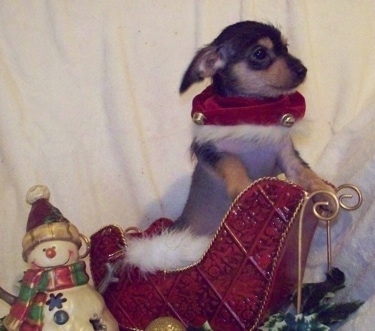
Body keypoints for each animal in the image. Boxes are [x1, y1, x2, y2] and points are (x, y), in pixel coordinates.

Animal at [173, 20, 334, 236]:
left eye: (285, 48)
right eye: (260, 53)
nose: (303, 69)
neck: (252, 110)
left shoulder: (288, 158)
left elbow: (306, 172)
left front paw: (324, 190)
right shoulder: (209, 151)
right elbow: (232, 161)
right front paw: (243, 187)